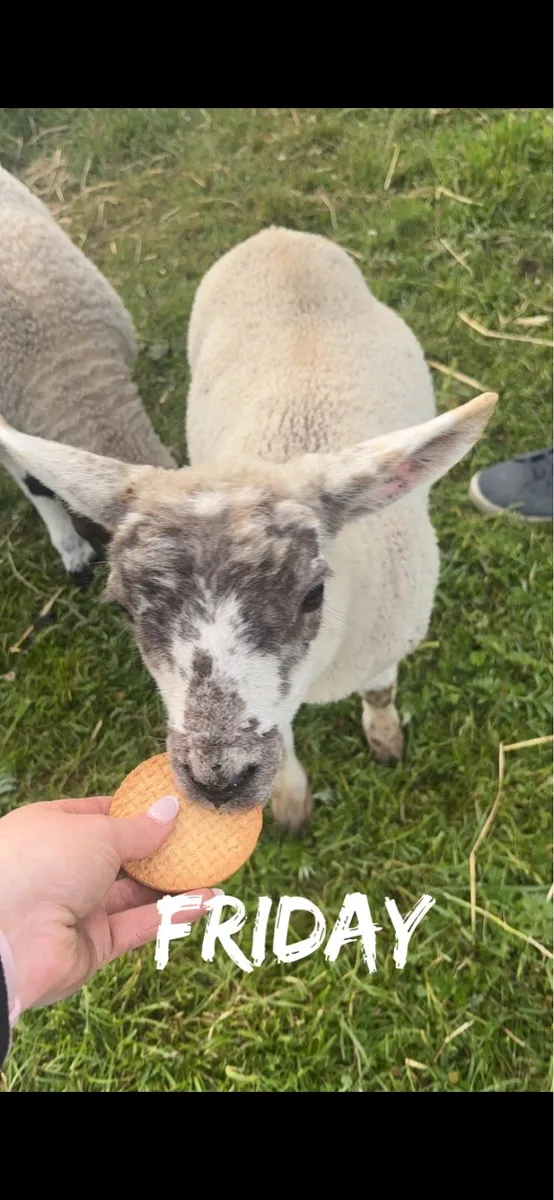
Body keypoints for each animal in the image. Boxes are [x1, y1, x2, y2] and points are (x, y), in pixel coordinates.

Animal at [0, 225, 497, 834]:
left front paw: (386, 741)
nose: (218, 782)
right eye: (121, 608)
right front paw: (290, 804)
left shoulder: (386, 646)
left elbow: (381, 693)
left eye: (314, 593)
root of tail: (277, 235)